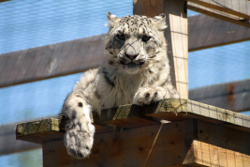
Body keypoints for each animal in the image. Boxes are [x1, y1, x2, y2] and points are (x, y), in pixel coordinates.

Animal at [61, 12, 179, 159]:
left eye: (146, 37)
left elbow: (169, 91)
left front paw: (149, 93)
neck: (131, 81)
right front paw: (78, 143)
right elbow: (75, 104)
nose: (131, 55)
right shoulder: (86, 92)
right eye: (121, 36)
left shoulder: (171, 91)